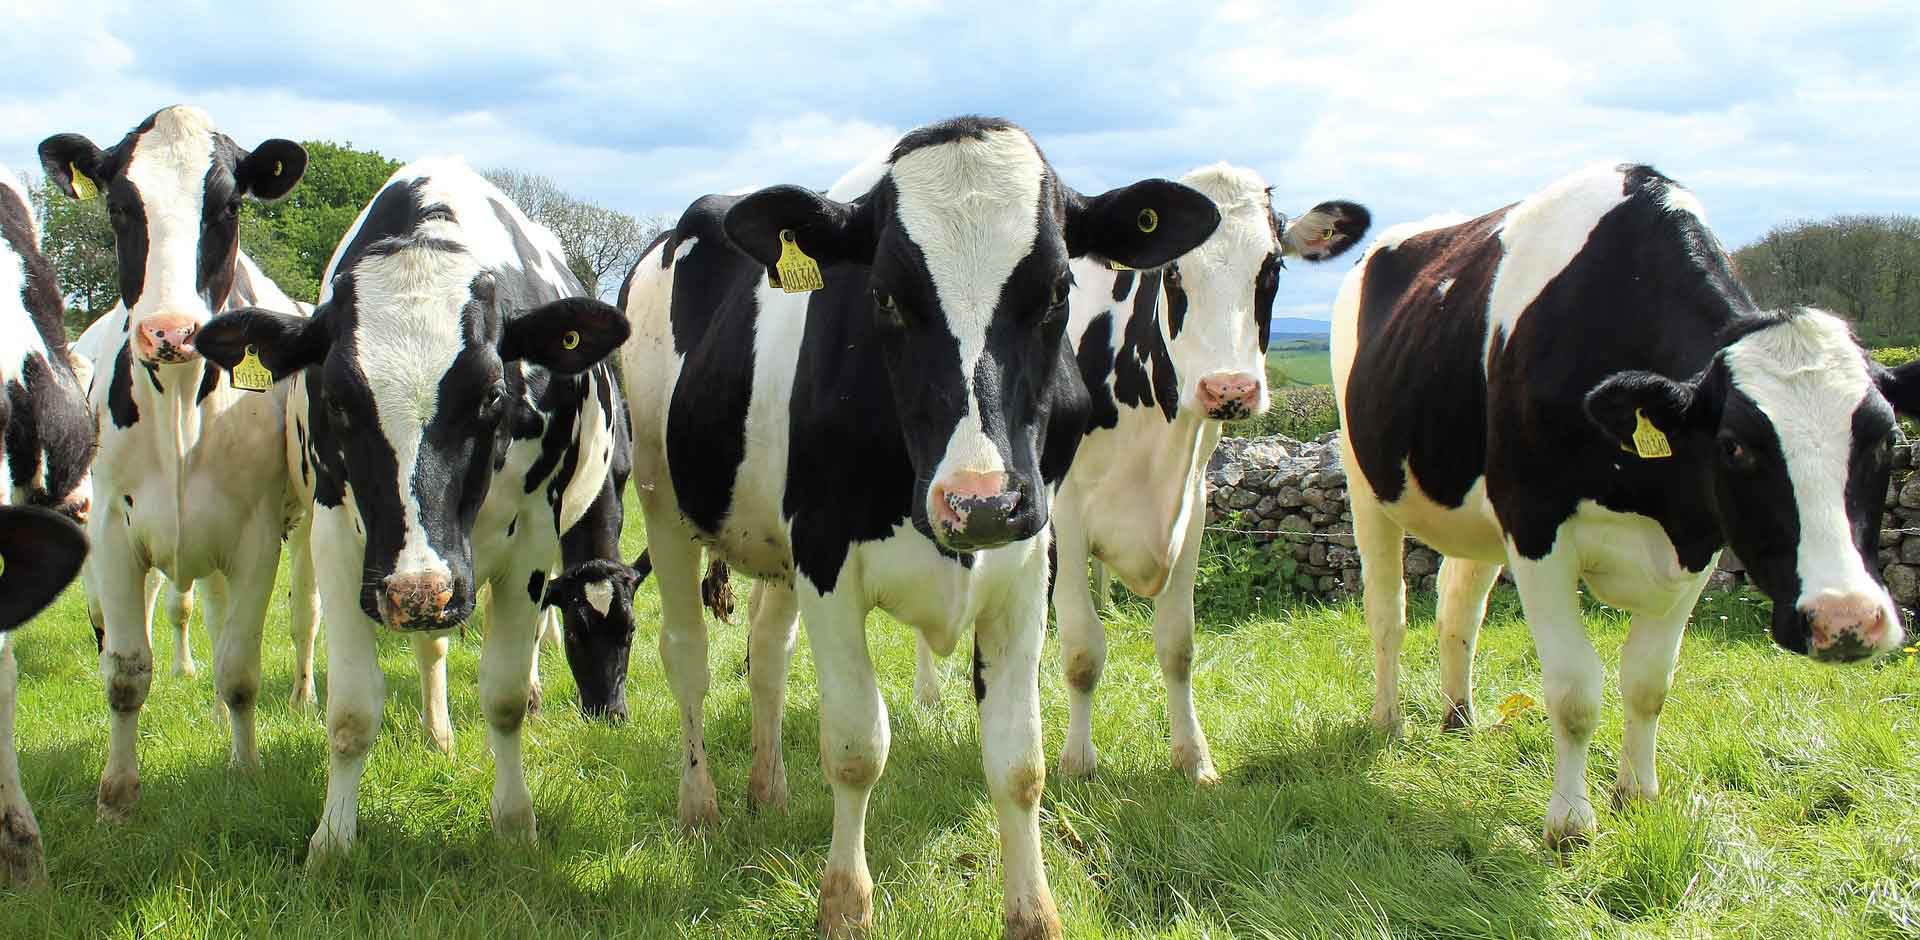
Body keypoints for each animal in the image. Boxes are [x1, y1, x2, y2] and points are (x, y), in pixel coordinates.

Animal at [38, 106, 324, 823]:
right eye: (119, 206)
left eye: (227, 205)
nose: (168, 332)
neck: (179, 408)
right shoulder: (112, 530)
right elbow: (125, 670)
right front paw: (116, 795)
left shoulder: (257, 535)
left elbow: (243, 668)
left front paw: (246, 770)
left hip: (305, 525)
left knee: (302, 615)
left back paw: (297, 698)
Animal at [195, 156, 631, 859]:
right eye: (337, 399)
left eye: (490, 394)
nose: (418, 589)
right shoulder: (343, 544)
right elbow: (351, 709)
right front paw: (332, 839)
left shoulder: (533, 544)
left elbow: (505, 695)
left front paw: (515, 823)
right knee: (431, 647)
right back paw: (436, 731)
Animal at [619, 115, 1221, 939]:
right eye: (884, 298)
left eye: (1058, 289)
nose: (981, 502)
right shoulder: (827, 560)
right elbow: (855, 745)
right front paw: (845, 903)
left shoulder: (1029, 563)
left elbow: (1019, 762)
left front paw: (1034, 912)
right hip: (662, 498)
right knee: (688, 655)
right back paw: (699, 805)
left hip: (772, 545)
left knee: (767, 656)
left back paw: (768, 789)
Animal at [909, 164, 1369, 784]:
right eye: (1173, 272)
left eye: (1271, 268)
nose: (1229, 389)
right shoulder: (1065, 514)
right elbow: (1082, 650)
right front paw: (1077, 761)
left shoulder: (1192, 507)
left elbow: (1178, 645)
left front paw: (1193, 757)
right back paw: (929, 693)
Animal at [1332, 163, 1919, 847]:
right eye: (1734, 446)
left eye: (1888, 438)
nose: (1846, 619)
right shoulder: (1535, 524)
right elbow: (1574, 690)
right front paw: (1570, 822)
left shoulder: (1697, 540)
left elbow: (1648, 682)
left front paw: (1637, 795)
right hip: (1366, 481)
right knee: (1388, 612)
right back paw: (1389, 721)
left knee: (1459, 604)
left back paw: (1458, 717)